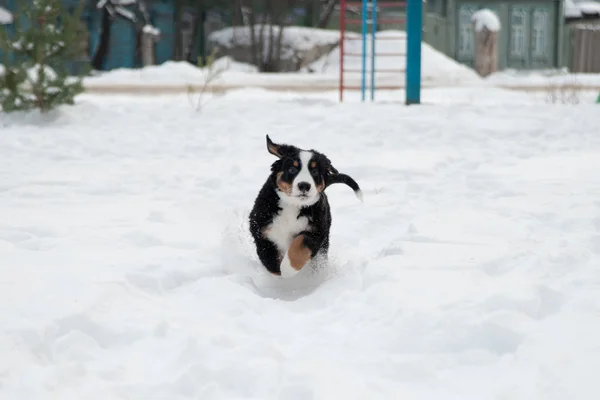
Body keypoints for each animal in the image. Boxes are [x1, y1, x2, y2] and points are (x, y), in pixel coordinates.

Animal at [248, 136, 360, 276]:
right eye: (292, 169)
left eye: (315, 171)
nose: (304, 185)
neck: (292, 204)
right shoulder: (260, 228)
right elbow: (268, 258)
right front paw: (279, 269)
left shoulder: (317, 230)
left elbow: (300, 245)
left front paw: (288, 268)